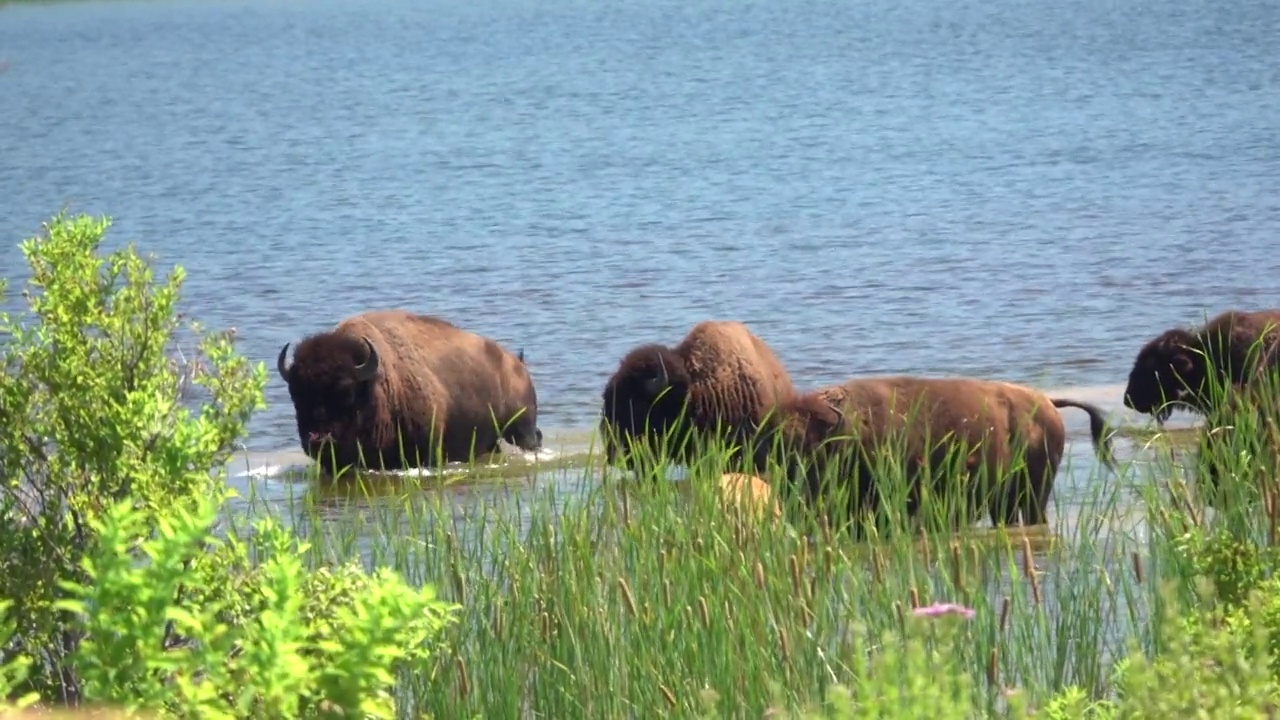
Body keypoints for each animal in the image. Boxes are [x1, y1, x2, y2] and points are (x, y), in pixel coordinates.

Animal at [275, 307, 540, 471]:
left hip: (521, 429)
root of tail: (517, 363)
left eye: (346, 392)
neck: (377, 384)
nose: (318, 440)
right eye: (295, 395)